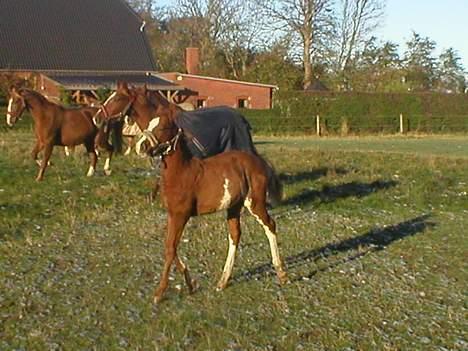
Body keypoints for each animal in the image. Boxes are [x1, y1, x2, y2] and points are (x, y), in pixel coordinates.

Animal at [144, 111, 288, 304]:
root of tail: (258, 160)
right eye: (149, 124)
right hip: (234, 206)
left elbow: (170, 248)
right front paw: (191, 284)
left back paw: (281, 274)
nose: (145, 146)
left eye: (163, 127)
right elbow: (171, 246)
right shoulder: (172, 214)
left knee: (270, 225)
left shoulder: (181, 215)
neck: (182, 172)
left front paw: (159, 293)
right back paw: (222, 281)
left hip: (255, 202)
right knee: (235, 235)